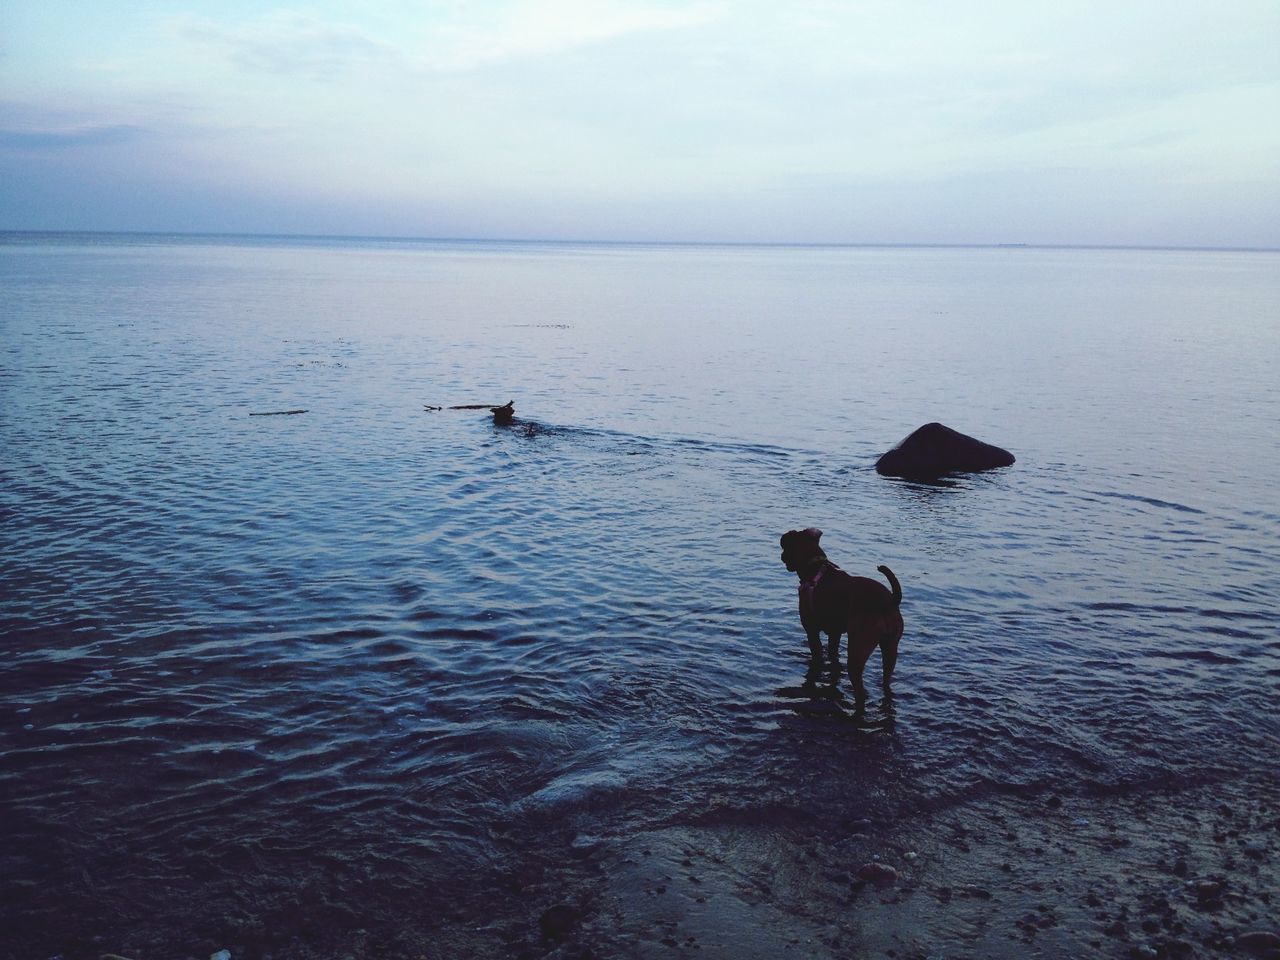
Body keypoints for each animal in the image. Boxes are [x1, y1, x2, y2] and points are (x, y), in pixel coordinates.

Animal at [773, 529, 906, 701]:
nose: (782, 556)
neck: (814, 568)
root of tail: (889, 601)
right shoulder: (834, 634)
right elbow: (833, 656)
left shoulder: (811, 631)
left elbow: (817, 655)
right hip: (890, 649)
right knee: (886, 680)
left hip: (858, 649)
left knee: (860, 688)